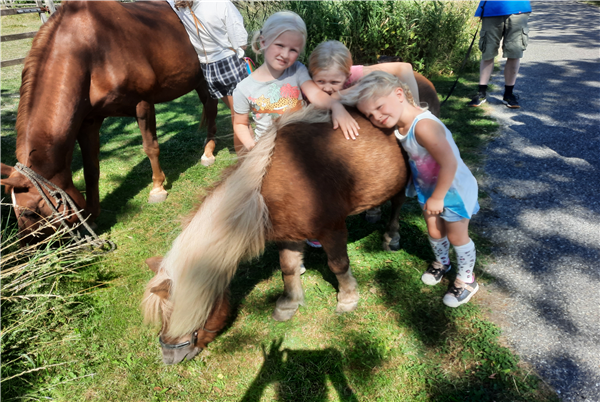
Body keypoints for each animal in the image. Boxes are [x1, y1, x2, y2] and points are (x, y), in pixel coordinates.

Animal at [0, 0, 220, 239]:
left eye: (31, 211)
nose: (27, 247)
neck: (88, 52)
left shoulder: (143, 104)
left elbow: (150, 147)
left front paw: (157, 190)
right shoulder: (89, 121)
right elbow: (91, 168)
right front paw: (93, 216)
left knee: (211, 108)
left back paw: (208, 153)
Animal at [141, 107, 412, 364]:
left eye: (185, 312)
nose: (169, 357)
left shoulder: (332, 230)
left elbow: (338, 265)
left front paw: (347, 298)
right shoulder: (289, 235)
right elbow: (288, 268)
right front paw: (289, 302)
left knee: (398, 203)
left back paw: (391, 237)